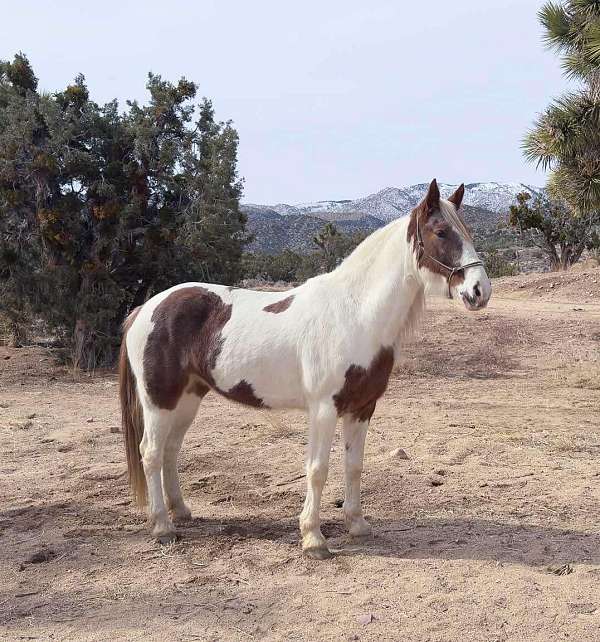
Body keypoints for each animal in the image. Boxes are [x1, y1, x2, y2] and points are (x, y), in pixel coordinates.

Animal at [118, 178, 492, 556]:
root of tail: (145, 308)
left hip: (188, 398)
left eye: (467, 230)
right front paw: (313, 538)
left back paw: (180, 511)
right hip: (159, 400)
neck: (354, 314)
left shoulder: (362, 408)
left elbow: (354, 466)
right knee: (151, 452)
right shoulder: (324, 409)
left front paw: (357, 524)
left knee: (171, 449)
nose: (480, 291)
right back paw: (162, 526)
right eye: (441, 232)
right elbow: (318, 469)